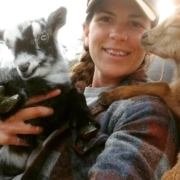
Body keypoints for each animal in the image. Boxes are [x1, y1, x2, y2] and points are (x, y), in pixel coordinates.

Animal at [0, 6, 100, 179]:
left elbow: (77, 94)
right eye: (9, 46)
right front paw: (5, 98)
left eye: (43, 36)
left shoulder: (57, 114)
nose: (23, 67)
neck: (42, 83)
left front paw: (85, 123)